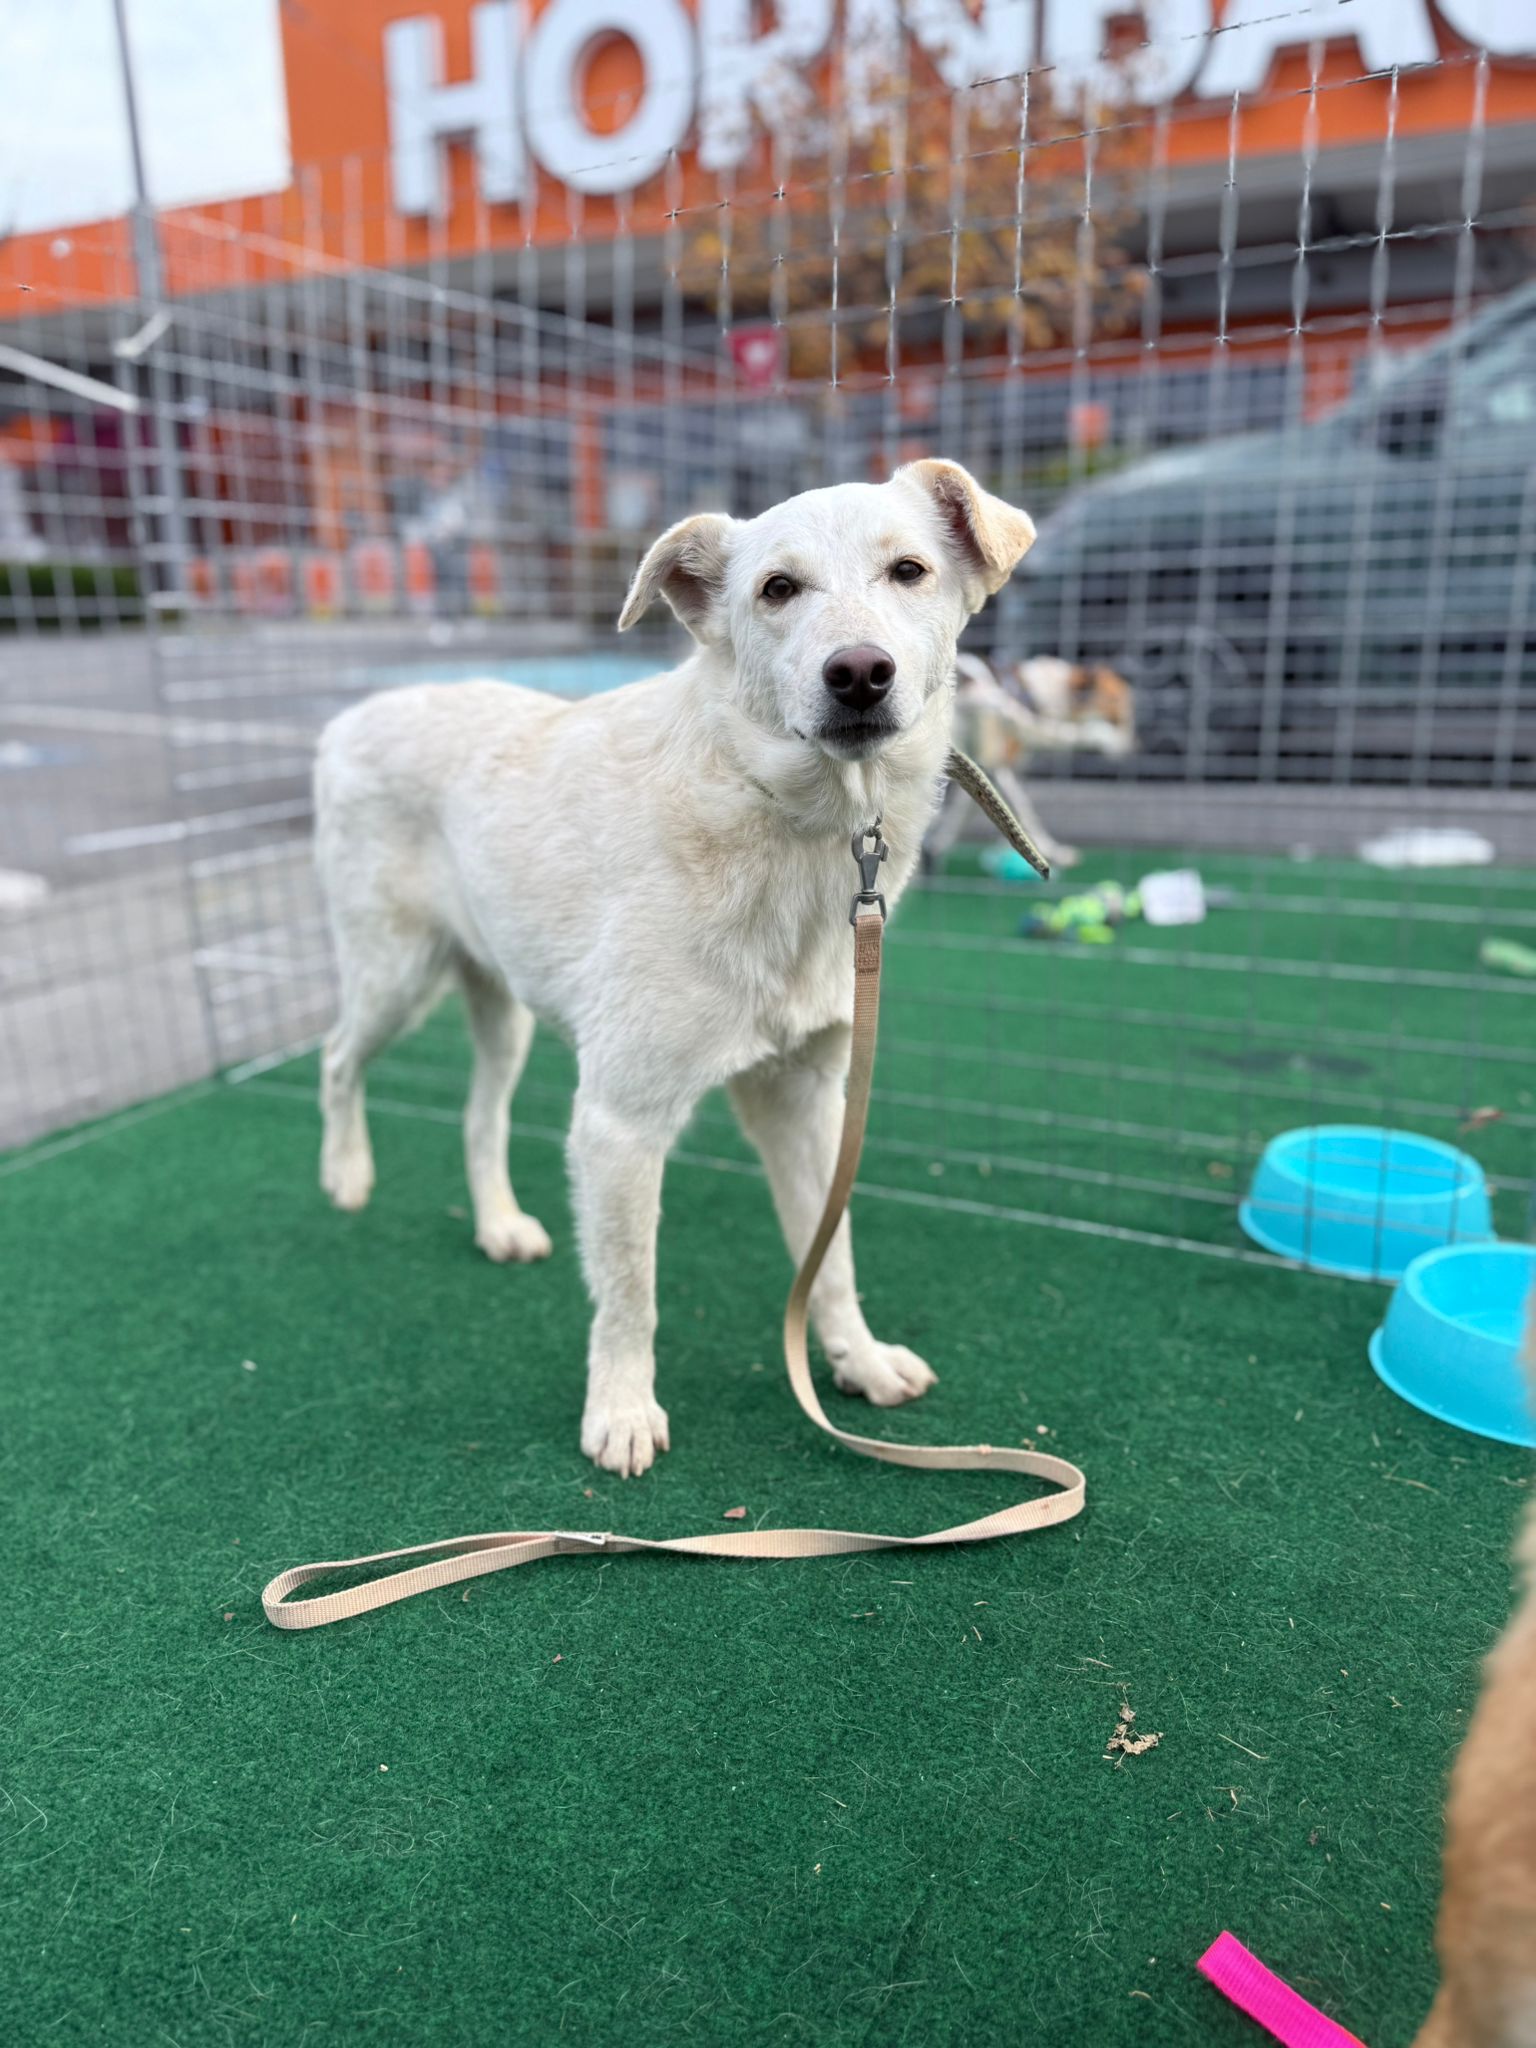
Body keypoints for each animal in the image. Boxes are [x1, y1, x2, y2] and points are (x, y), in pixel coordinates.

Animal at [314, 459, 1037, 1475]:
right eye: (778, 589)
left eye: (910, 571)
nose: (859, 673)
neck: (781, 813)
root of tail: (351, 716)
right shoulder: (620, 1121)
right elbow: (630, 1291)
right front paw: (620, 1412)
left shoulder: (805, 1102)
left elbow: (831, 1255)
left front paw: (854, 1360)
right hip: (395, 974)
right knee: (337, 1059)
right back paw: (345, 1177)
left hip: (501, 1005)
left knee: (480, 1115)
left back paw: (498, 1226)